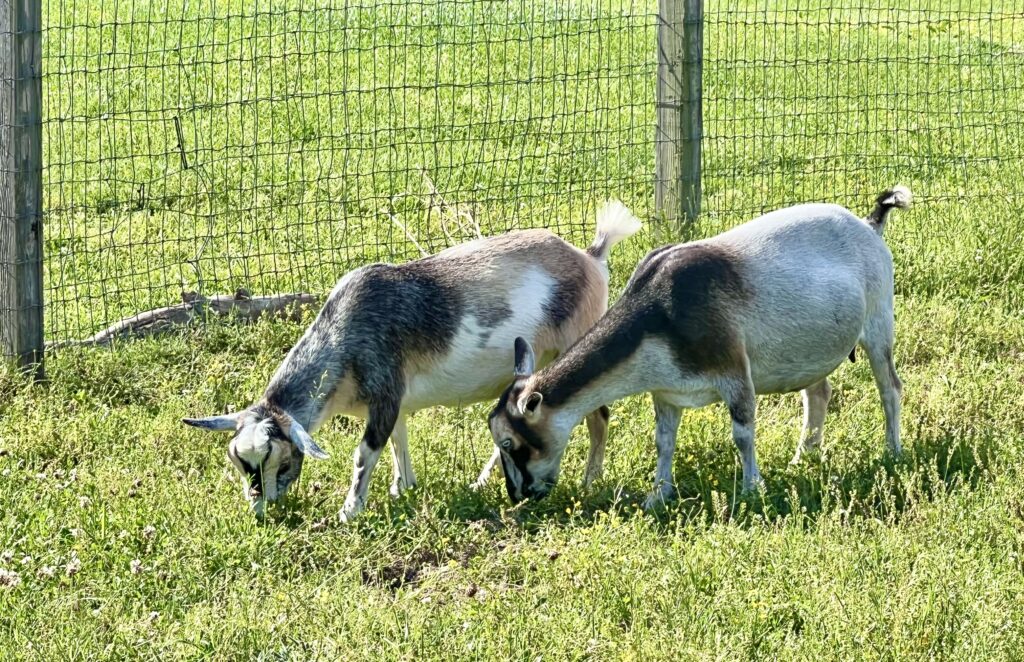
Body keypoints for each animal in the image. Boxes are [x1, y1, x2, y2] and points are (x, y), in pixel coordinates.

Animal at [178, 199, 638, 520]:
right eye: (240, 460)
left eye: (284, 459)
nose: (261, 509)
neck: (347, 332)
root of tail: (590, 258)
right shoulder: (393, 399)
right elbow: (399, 440)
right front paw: (404, 488)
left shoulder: (383, 393)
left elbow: (365, 454)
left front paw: (349, 511)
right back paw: (481, 482)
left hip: (576, 344)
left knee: (598, 414)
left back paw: (590, 480)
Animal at [487, 189, 913, 510]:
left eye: (510, 443)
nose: (519, 495)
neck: (660, 310)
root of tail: (869, 225)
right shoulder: (665, 389)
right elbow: (663, 440)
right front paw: (657, 496)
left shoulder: (733, 369)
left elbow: (742, 433)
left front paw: (751, 489)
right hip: (810, 349)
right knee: (819, 392)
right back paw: (802, 457)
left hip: (879, 318)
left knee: (889, 386)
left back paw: (892, 450)